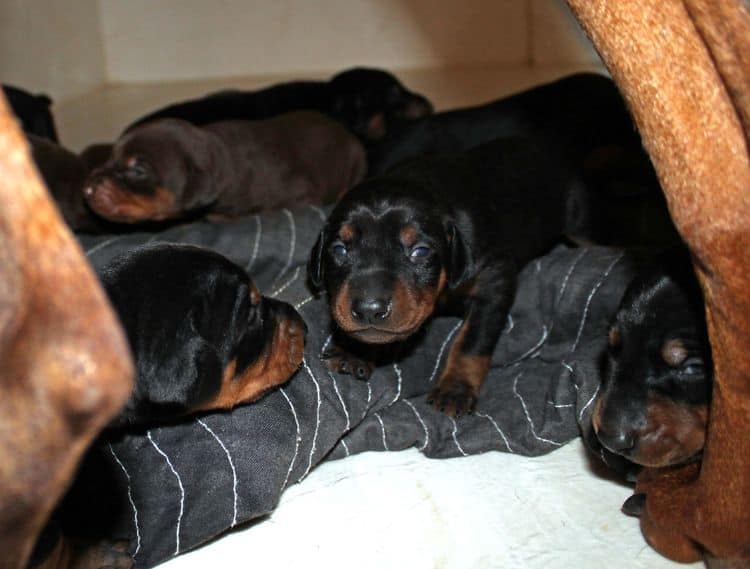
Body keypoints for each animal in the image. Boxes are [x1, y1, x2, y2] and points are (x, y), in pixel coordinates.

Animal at [308, 135, 580, 414]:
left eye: (420, 251)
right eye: (339, 249)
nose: (369, 309)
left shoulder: (494, 280)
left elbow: (472, 340)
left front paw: (456, 388)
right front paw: (354, 351)